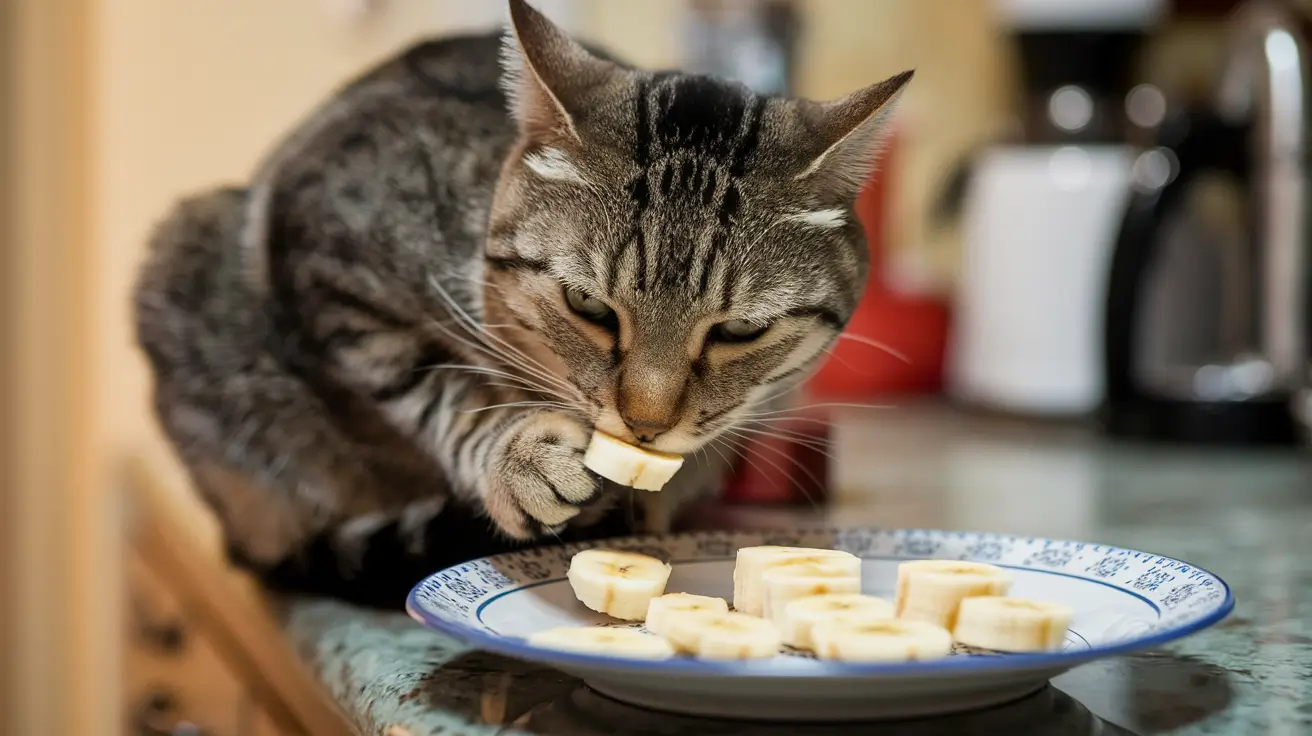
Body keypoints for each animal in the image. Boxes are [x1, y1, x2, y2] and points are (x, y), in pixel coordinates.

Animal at [133, 0, 913, 608]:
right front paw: (518, 457)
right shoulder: (326, 249)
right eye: (587, 304)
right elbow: (442, 393)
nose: (646, 425)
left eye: (740, 330)